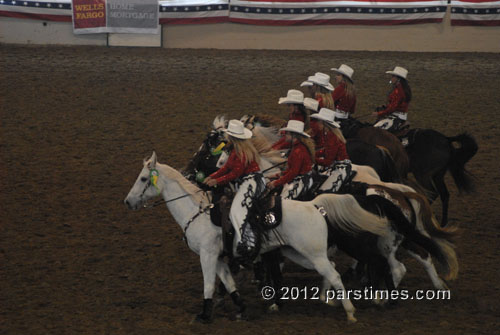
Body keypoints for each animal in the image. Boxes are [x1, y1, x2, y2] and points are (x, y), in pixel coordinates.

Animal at [124, 154, 390, 324]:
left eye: (143, 179)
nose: (128, 201)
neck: (198, 212)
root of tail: (314, 204)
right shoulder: (219, 258)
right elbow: (229, 282)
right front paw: (241, 309)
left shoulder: (207, 256)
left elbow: (209, 285)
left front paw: (204, 315)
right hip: (301, 254)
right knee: (332, 269)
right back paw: (324, 300)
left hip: (314, 254)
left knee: (336, 273)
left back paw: (351, 311)